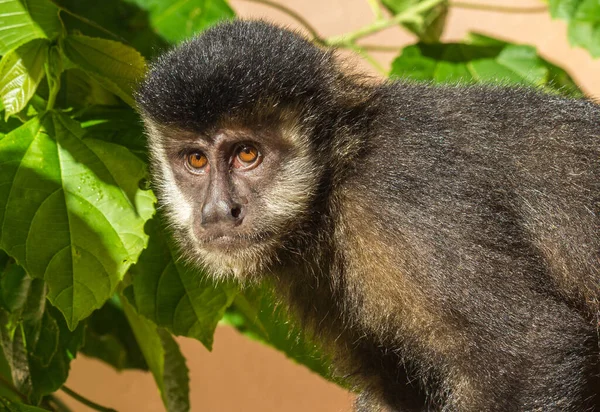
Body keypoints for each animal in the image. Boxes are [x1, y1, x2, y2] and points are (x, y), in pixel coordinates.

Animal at [136, 20, 600, 412]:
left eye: (246, 154)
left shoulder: (401, 200)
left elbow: (531, 349)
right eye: (196, 160)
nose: (218, 211)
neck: (338, 174)